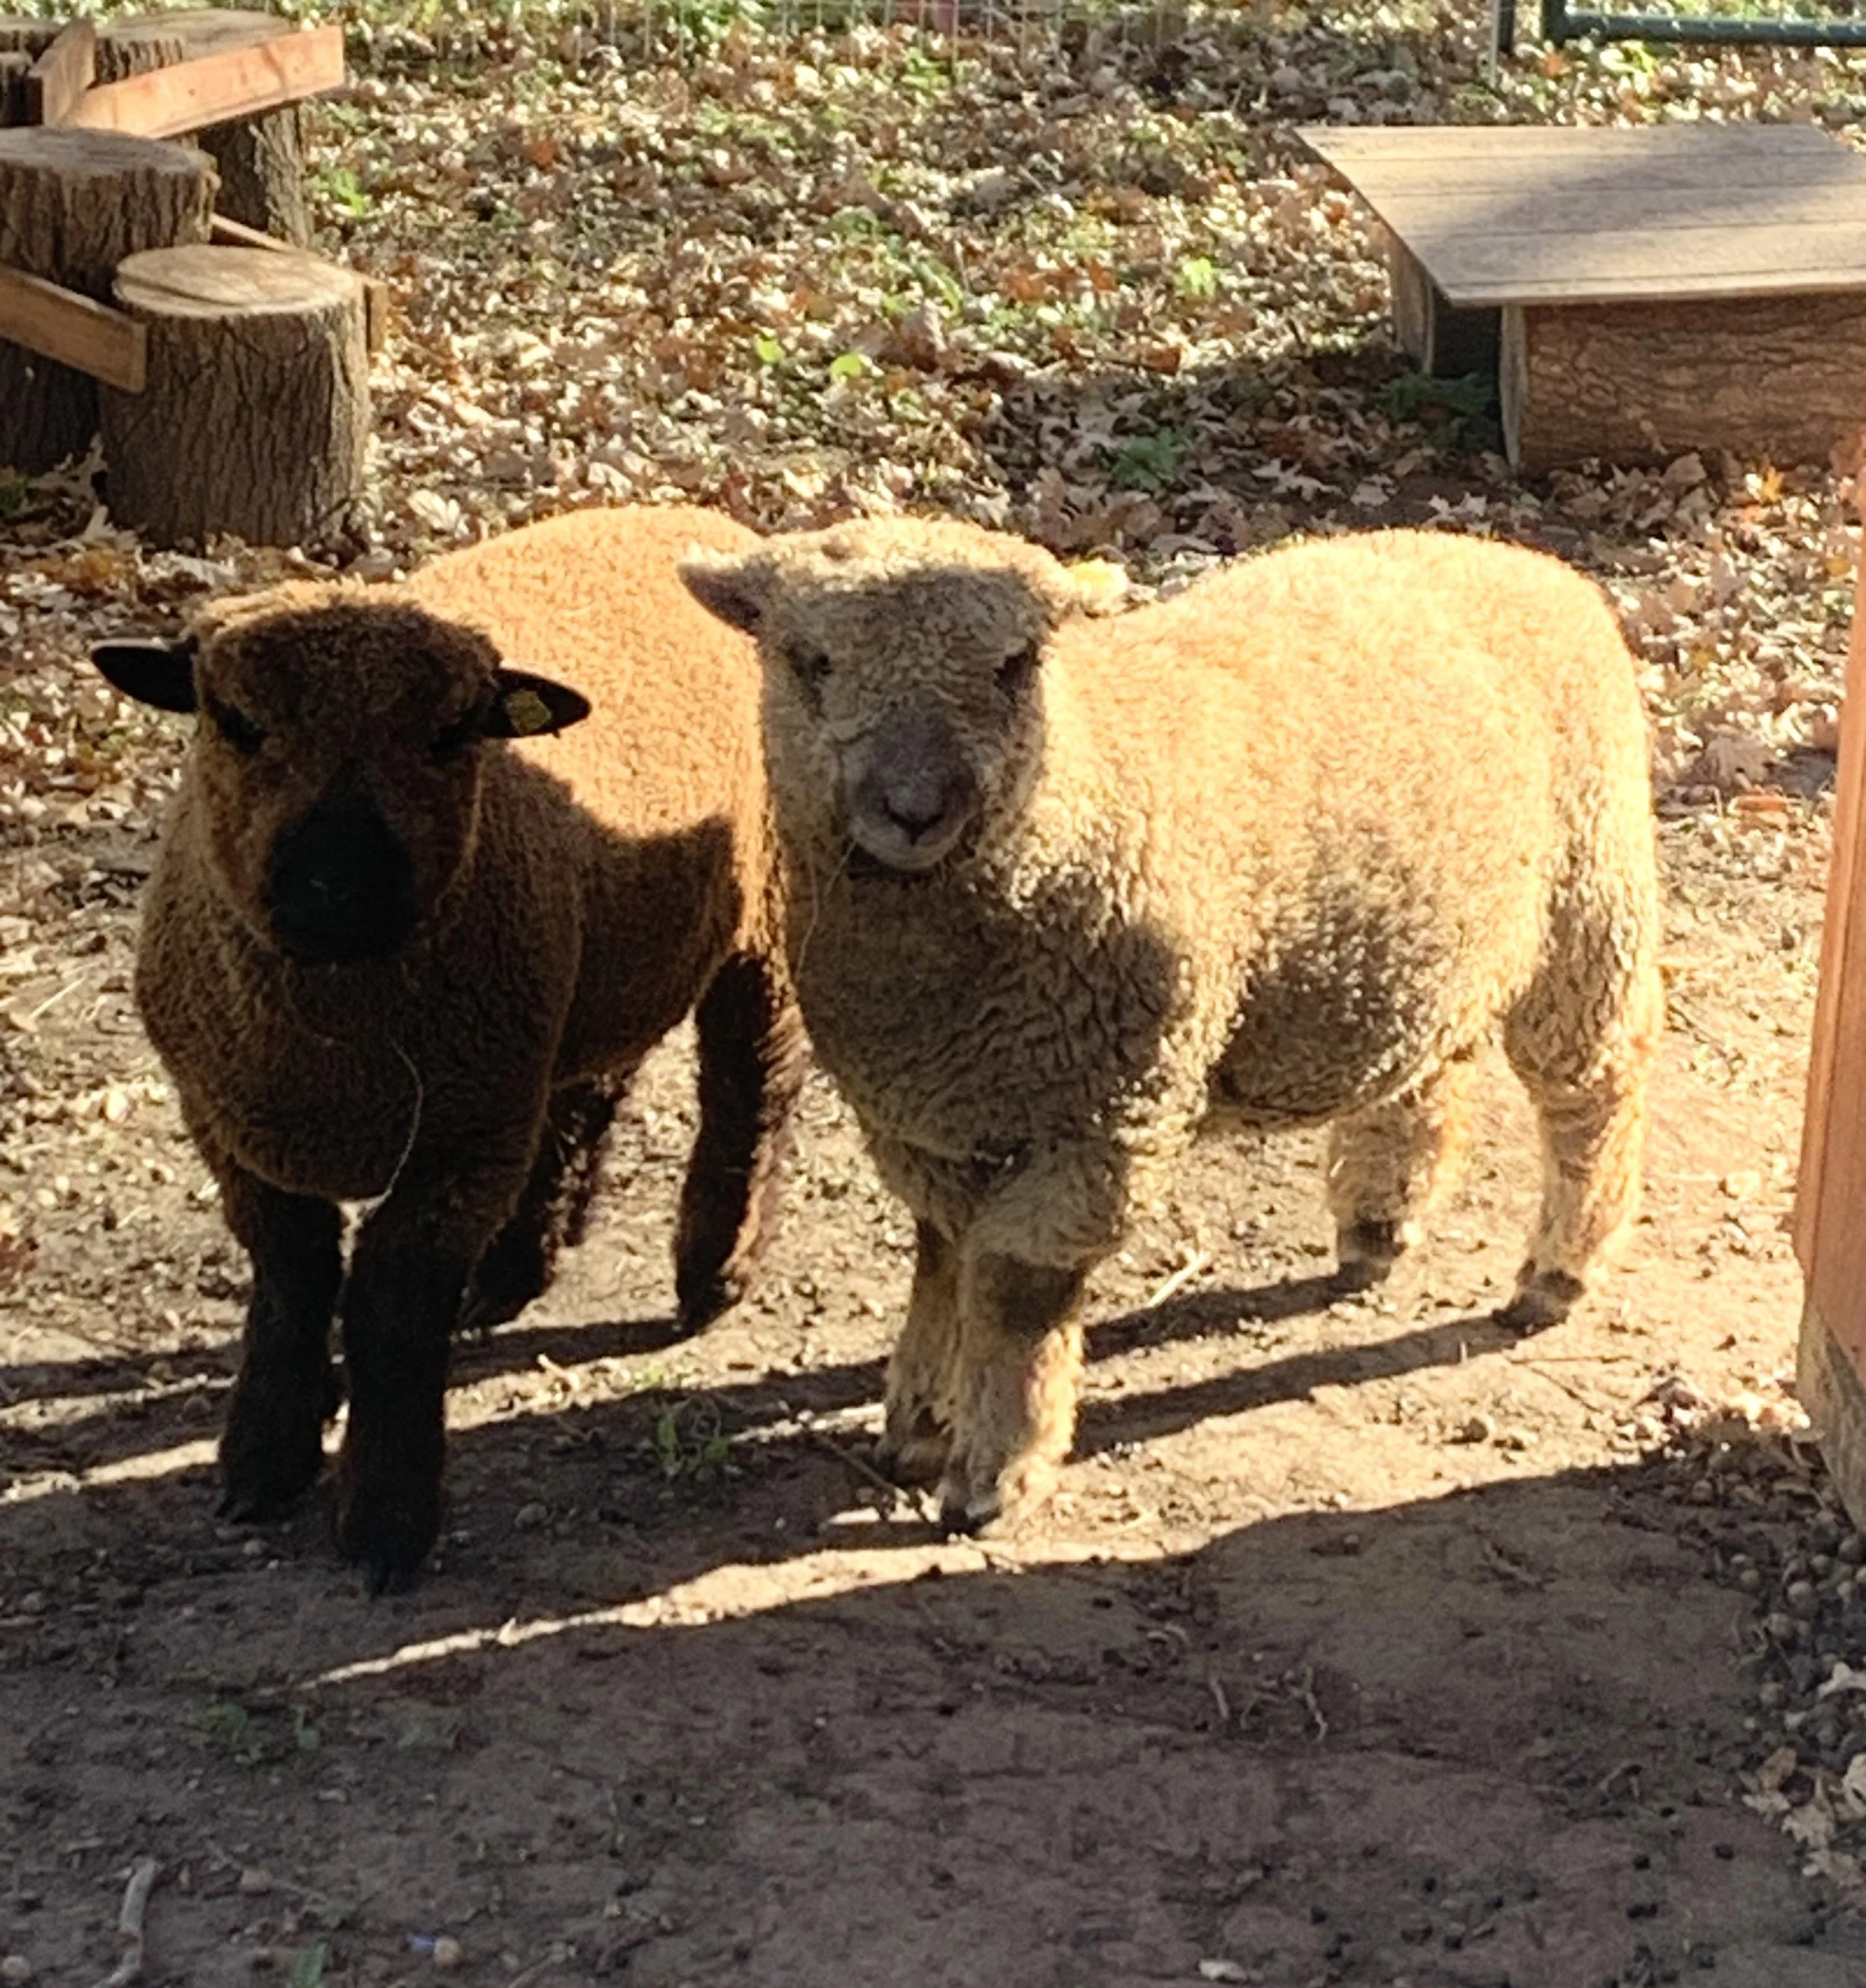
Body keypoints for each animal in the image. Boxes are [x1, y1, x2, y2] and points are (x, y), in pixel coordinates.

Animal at [93, 505, 803, 1591]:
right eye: (236, 721)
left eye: (447, 736)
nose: (337, 885)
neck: (338, 1040)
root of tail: (694, 518)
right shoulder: (231, 1123)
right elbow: (293, 1275)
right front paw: (264, 1456)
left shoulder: (460, 1144)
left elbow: (390, 1302)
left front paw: (386, 1518)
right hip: (578, 971)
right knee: (587, 1088)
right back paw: (519, 1263)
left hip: (764, 912)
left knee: (749, 1081)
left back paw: (710, 1271)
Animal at [681, 518, 1661, 1536]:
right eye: (809, 659)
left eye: (1014, 663)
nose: (915, 810)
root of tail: (1511, 556)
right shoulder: (928, 1116)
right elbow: (943, 1253)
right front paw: (920, 1421)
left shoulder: (1107, 1116)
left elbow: (1016, 1284)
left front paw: (996, 1471)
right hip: (1419, 941)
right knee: (1422, 1077)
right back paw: (1376, 1226)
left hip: (1590, 893)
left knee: (1595, 1091)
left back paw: (1557, 1271)